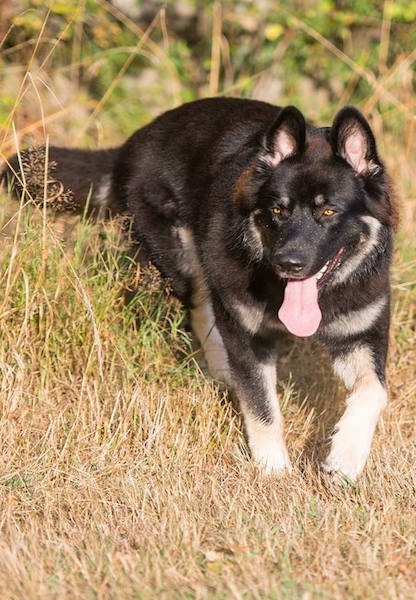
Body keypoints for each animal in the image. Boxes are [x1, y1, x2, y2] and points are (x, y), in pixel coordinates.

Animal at [1, 98, 398, 480]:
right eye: (277, 210)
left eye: (328, 212)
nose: (288, 263)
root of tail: (130, 145)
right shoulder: (248, 336)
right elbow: (262, 407)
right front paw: (273, 470)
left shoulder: (361, 335)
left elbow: (374, 392)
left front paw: (345, 459)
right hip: (182, 267)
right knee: (201, 310)